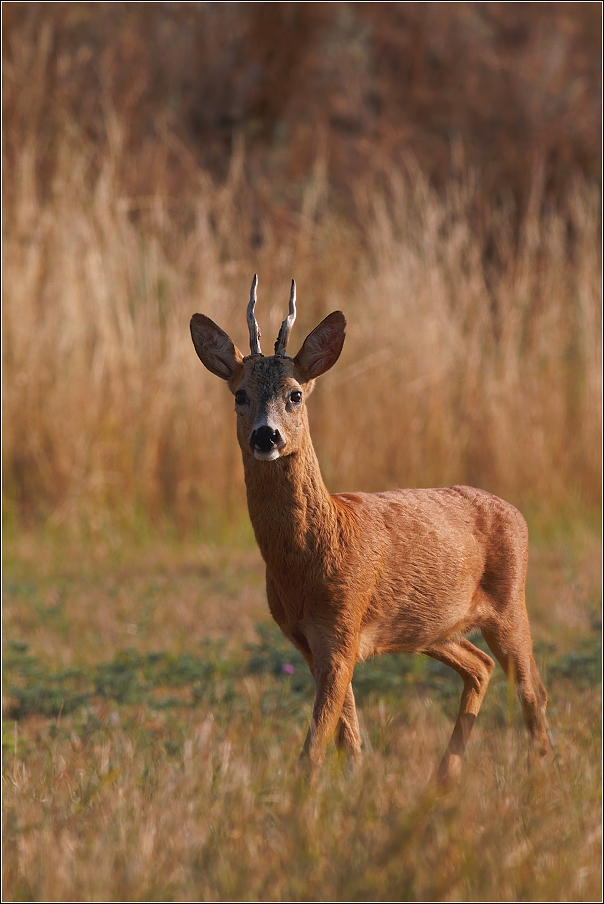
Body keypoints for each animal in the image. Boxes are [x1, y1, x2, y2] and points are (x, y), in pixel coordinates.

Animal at [191, 276, 548, 784]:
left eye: (295, 394)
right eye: (239, 394)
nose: (266, 436)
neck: (308, 562)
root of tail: (515, 511)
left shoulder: (344, 624)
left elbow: (315, 745)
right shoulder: (308, 640)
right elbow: (348, 736)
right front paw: (354, 786)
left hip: (509, 599)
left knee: (532, 687)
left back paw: (539, 775)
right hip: (431, 627)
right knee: (479, 666)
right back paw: (444, 776)